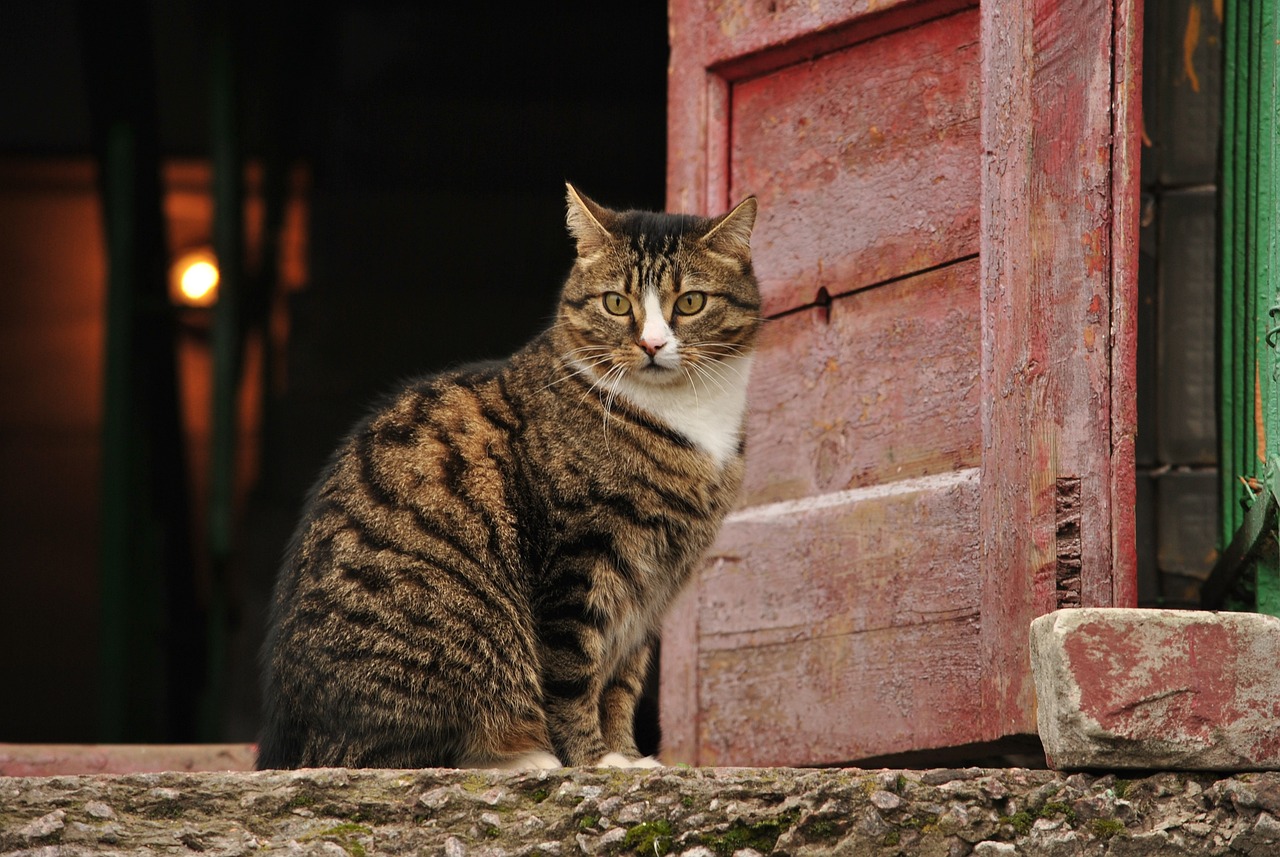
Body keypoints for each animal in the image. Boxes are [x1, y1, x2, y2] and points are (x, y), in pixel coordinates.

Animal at [258, 186, 757, 772]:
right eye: (616, 303)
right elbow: (574, 676)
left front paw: (626, 755)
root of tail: (292, 746)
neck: (687, 416)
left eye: (691, 302)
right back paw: (525, 757)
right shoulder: (580, 559)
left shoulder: (648, 592)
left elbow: (621, 683)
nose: (652, 345)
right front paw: (594, 762)